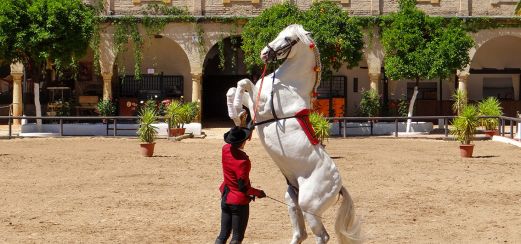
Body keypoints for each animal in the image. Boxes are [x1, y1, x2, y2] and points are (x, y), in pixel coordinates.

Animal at [225, 23, 360, 243]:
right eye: (279, 33)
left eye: (288, 39)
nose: (264, 53)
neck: (288, 86)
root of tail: (338, 186)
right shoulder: (255, 104)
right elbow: (234, 88)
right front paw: (236, 114)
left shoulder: (261, 107)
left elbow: (244, 82)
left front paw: (237, 113)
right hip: (292, 198)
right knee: (300, 233)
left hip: (308, 206)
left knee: (322, 236)